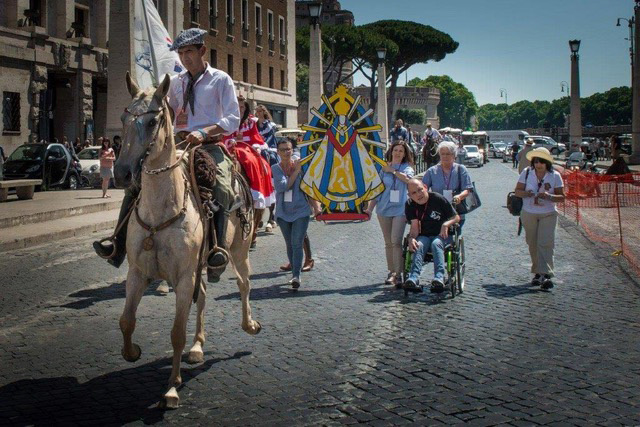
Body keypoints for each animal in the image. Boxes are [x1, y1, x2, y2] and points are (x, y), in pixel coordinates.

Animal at [114, 72, 262, 410]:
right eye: (124, 118)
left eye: (153, 121)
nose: (122, 173)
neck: (161, 210)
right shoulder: (137, 274)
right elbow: (126, 320)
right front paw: (132, 352)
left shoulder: (183, 277)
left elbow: (176, 333)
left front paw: (171, 388)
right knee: (205, 294)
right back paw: (197, 347)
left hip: (239, 250)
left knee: (244, 284)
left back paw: (249, 325)